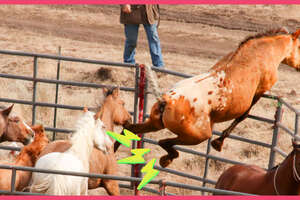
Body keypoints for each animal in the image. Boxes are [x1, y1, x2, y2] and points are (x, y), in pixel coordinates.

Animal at [121, 27, 300, 168]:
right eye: (299, 46)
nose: (299, 67)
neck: (262, 51)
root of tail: (167, 100)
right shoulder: (260, 90)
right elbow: (243, 116)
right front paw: (218, 143)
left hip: (154, 123)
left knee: (131, 129)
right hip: (198, 135)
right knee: (165, 142)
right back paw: (167, 159)